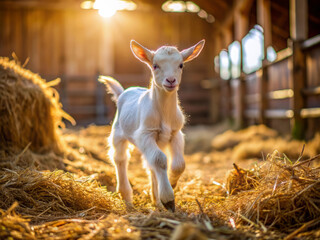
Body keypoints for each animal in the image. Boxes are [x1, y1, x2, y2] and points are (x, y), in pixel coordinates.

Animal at [99, 38, 205, 211]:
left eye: (181, 65)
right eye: (155, 65)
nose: (171, 80)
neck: (164, 114)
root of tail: (122, 92)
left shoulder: (176, 133)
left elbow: (178, 164)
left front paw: (172, 184)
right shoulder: (145, 134)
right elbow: (160, 160)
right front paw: (168, 199)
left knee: (150, 165)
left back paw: (156, 200)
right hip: (118, 134)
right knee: (120, 159)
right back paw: (127, 198)